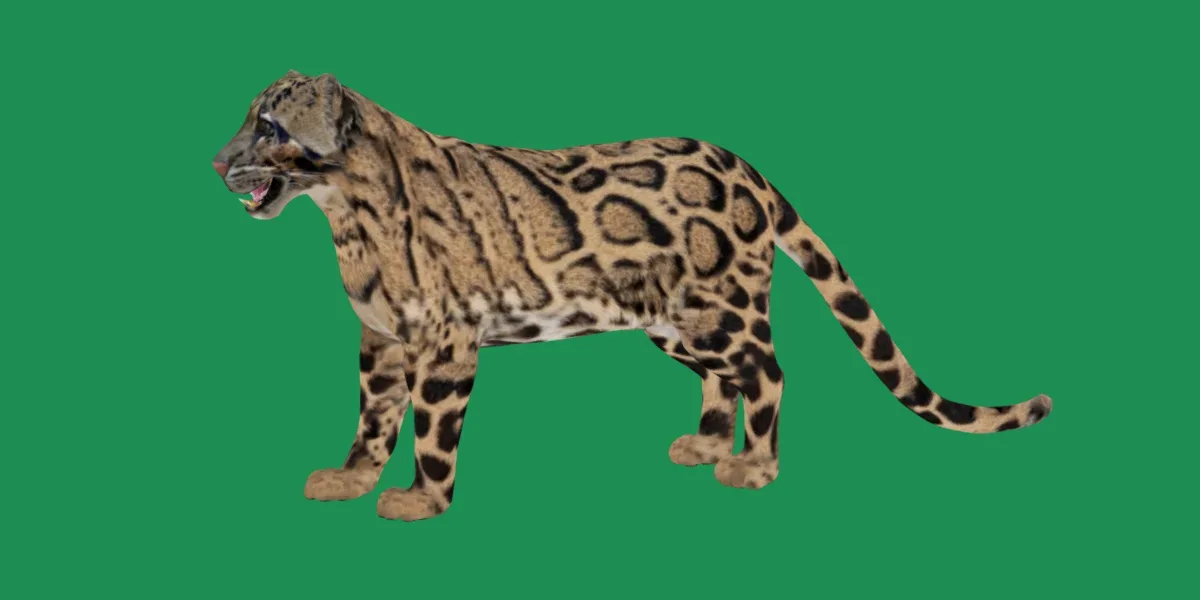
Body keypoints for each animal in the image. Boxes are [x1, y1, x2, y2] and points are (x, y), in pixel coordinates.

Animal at [212, 70, 1053, 522]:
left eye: (270, 126)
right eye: (249, 119)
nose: (216, 162)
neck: (347, 220)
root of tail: (746, 167)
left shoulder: (445, 340)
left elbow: (430, 431)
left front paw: (420, 499)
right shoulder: (381, 340)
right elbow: (373, 419)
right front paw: (351, 479)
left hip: (721, 310)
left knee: (770, 372)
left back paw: (752, 466)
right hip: (676, 324)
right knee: (727, 380)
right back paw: (708, 445)